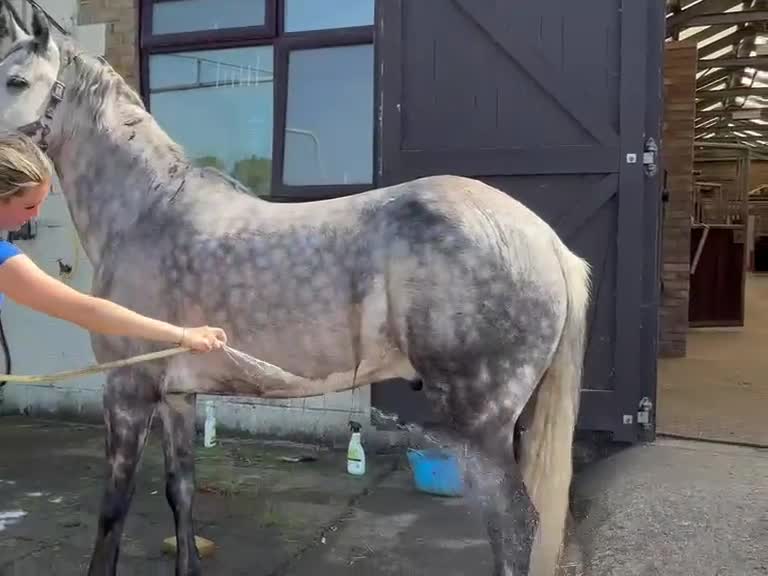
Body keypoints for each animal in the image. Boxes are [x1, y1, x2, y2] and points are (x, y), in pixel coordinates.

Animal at [0, 7, 590, 576]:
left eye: (16, 80)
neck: (146, 212)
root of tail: (547, 241)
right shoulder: (177, 395)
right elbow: (180, 492)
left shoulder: (127, 391)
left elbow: (113, 512)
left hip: (483, 426)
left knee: (514, 526)